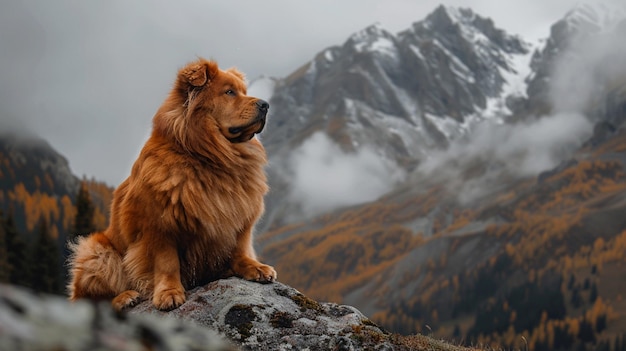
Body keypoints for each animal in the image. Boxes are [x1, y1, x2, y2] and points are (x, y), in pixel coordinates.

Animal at [66, 59, 278, 312]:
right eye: (229, 92)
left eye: (244, 92)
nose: (266, 105)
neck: (210, 158)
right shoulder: (159, 226)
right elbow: (167, 263)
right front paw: (169, 292)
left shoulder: (240, 216)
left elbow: (240, 248)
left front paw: (254, 266)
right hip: (97, 252)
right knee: (90, 300)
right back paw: (125, 297)